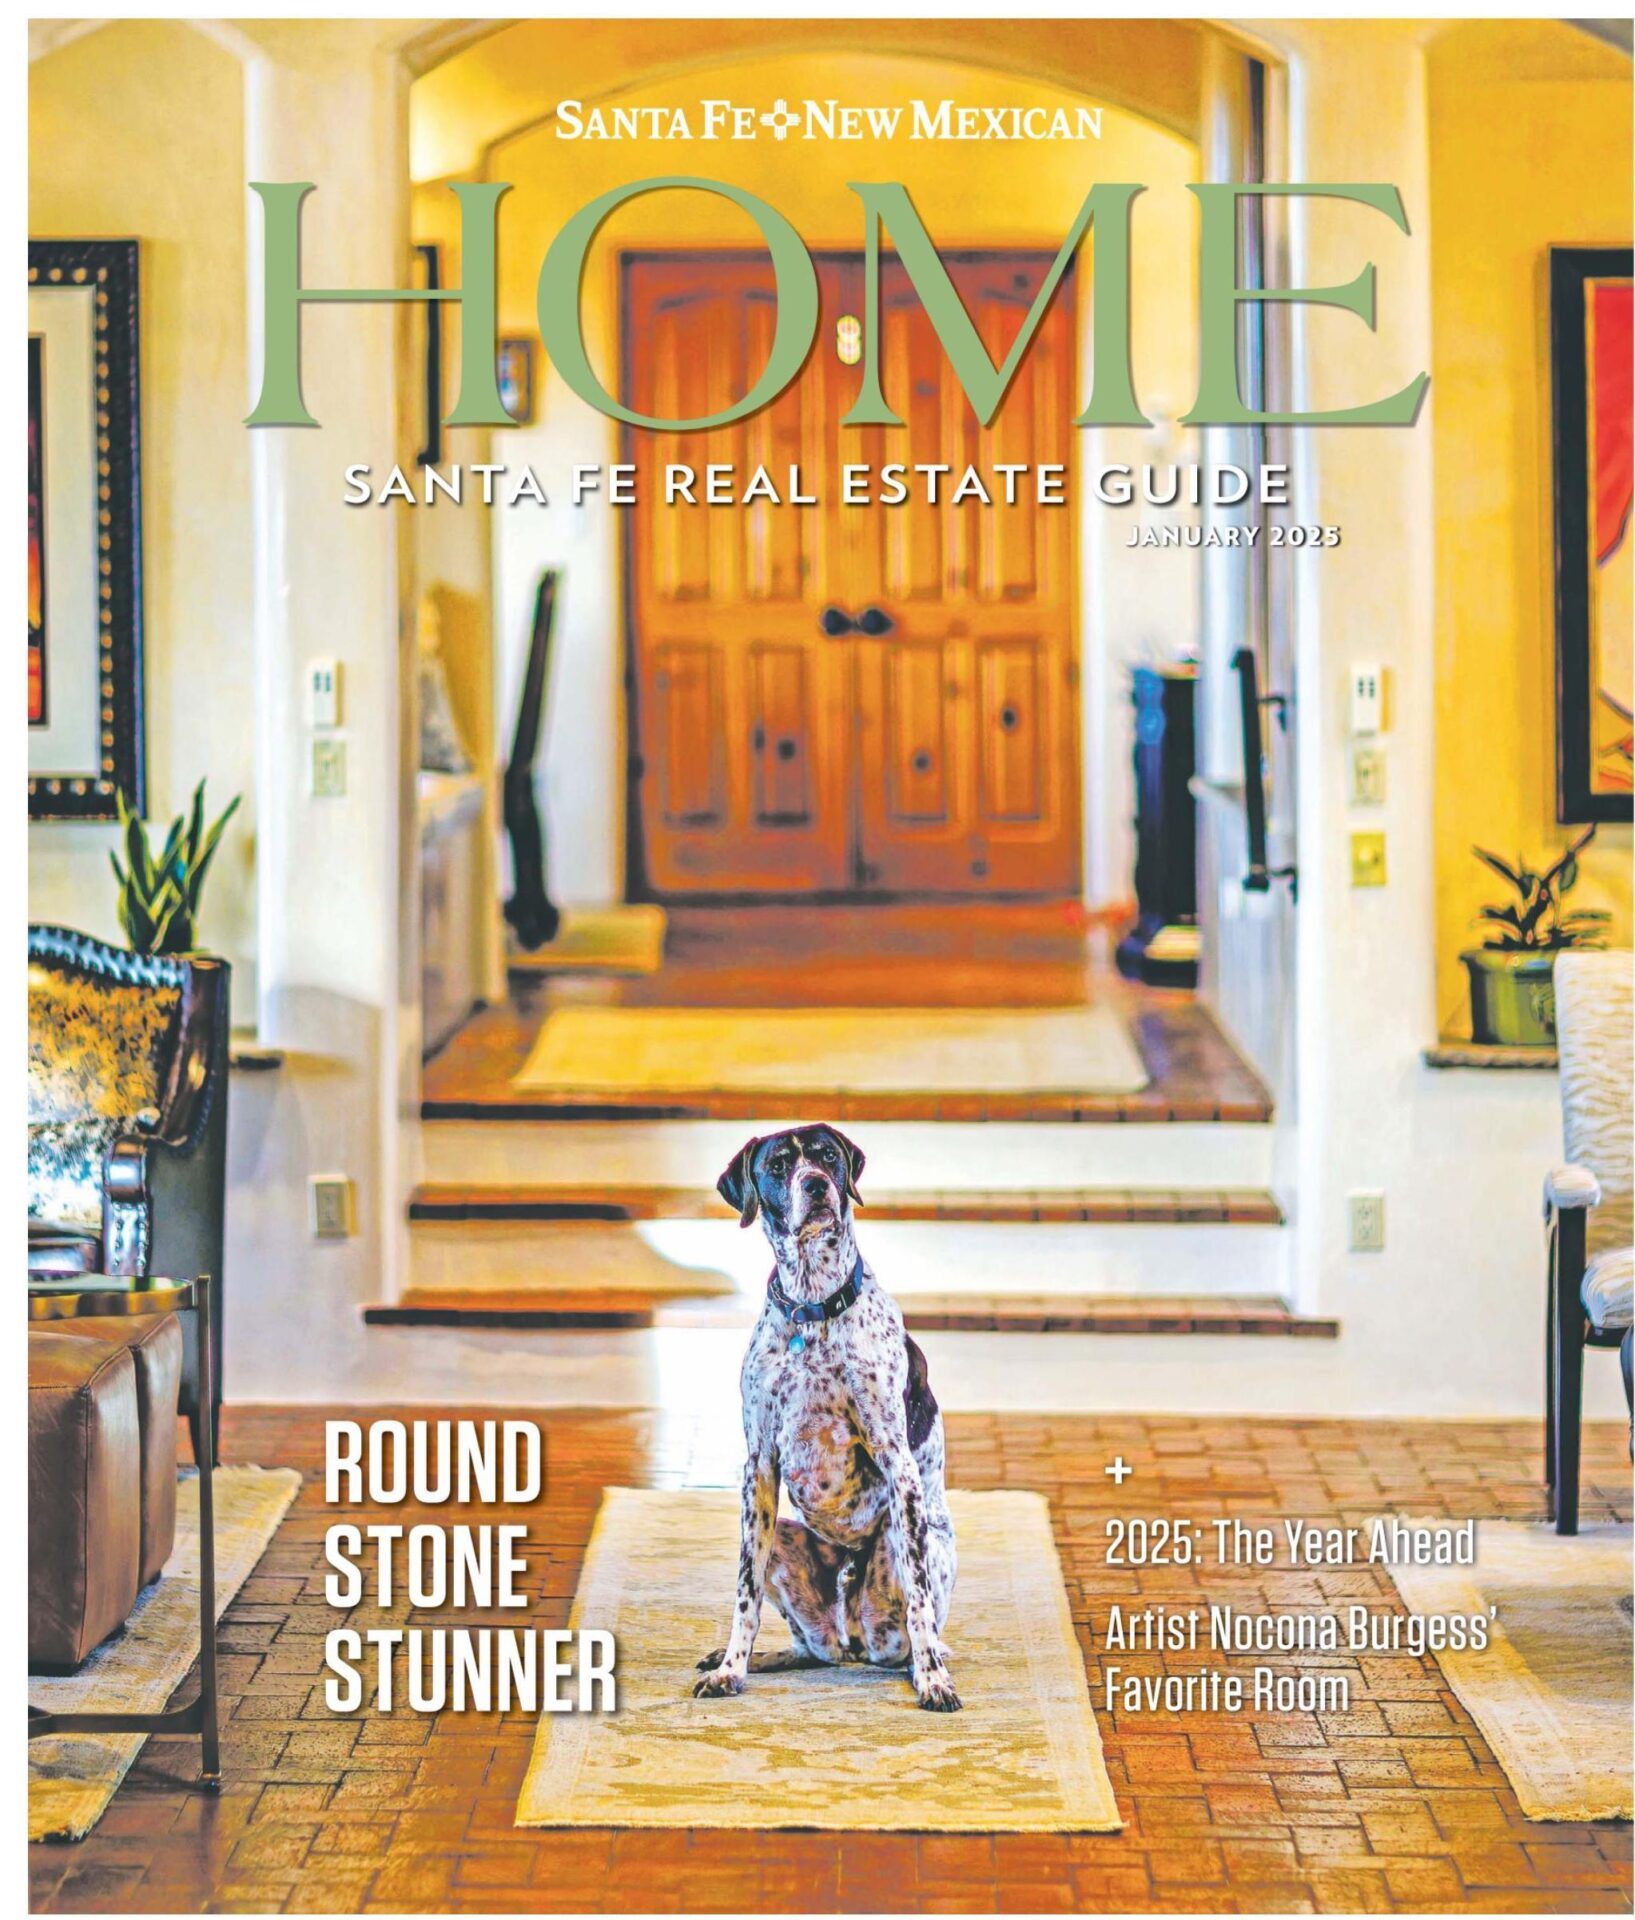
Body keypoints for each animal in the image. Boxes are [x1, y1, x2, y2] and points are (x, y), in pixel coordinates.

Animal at [694, 1121, 959, 1712]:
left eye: (827, 1157)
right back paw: (748, 1658)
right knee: (812, 1648)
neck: (813, 1307)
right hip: (778, 1541)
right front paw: (729, 1670)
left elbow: (920, 1605)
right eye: (777, 1166)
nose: (815, 1185)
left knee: (914, 1629)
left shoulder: (898, 1465)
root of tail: (851, 1638)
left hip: (910, 1545)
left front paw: (934, 1681)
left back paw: (926, 1664)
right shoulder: (759, 1471)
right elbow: (744, 1599)